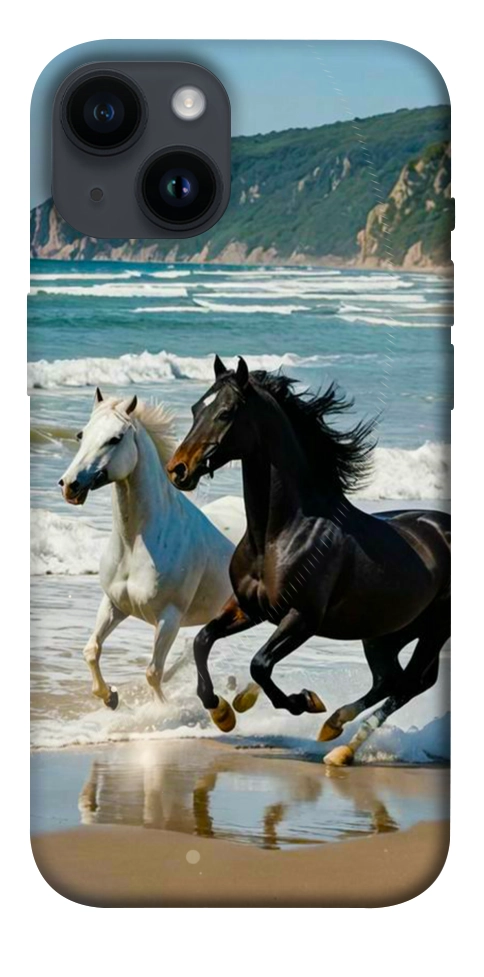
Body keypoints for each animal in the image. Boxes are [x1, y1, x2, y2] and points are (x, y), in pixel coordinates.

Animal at [59, 387, 234, 709]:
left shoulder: (169, 618)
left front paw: (161, 711)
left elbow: (153, 672)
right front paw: (110, 697)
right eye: (81, 434)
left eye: (115, 438)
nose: (69, 485)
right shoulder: (114, 604)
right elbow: (91, 650)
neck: (135, 544)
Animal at [166, 356, 450, 765]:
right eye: (195, 409)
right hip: (385, 633)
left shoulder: (302, 618)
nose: (178, 469)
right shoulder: (248, 608)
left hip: (432, 631)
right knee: (391, 679)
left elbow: (260, 664)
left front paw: (303, 702)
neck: (279, 534)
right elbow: (203, 641)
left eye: (226, 413)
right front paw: (222, 712)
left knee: (409, 683)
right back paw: (334, 729)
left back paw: (340, 745)